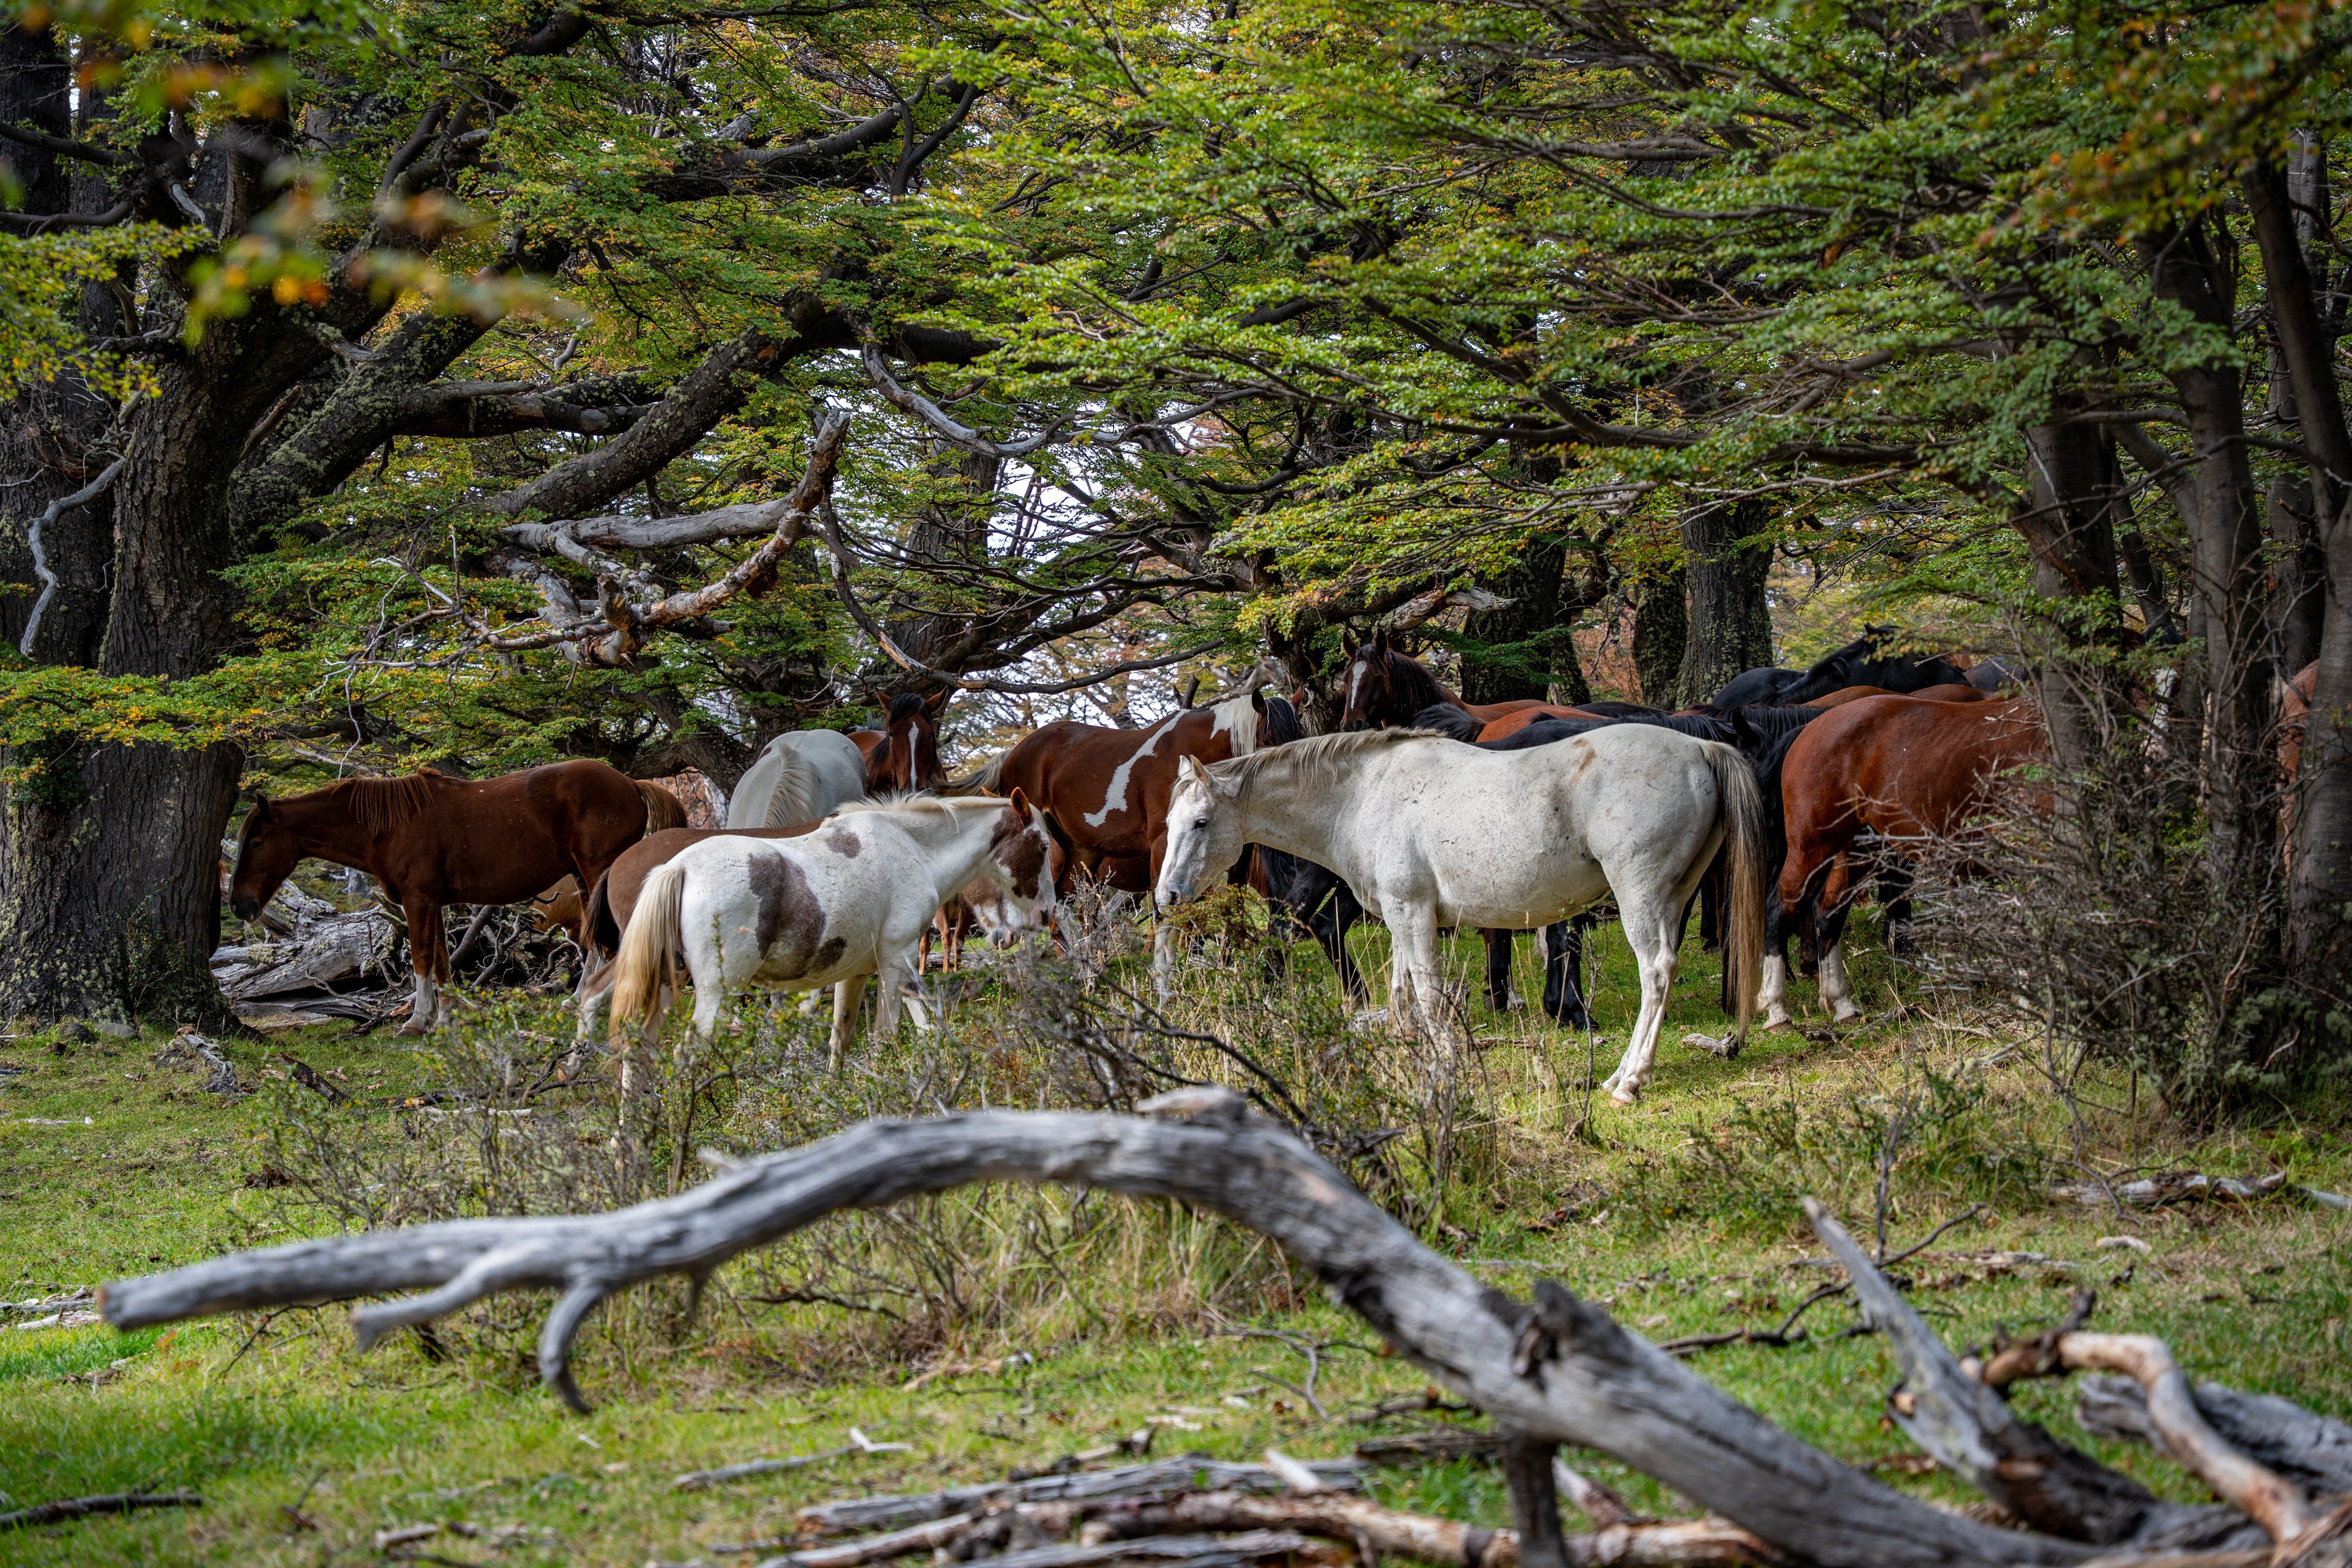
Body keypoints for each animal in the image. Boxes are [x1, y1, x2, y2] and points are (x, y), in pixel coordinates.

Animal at [230, 762, 686, 1034]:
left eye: (255, 842)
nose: (237, 904)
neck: (387, 827)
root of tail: (630, 783)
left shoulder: (417, 900)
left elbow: (421, 958)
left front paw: (417, 1021)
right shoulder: (432, 901)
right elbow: (442, 960)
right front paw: (445, 1015)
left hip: (596, 872)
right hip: (583, 876)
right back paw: (578, 998)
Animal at [609, 795, 1059, 1071]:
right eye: (1042, 847)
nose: (1046, 914)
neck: (912, 847)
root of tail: (680, 867)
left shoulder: (857, 973)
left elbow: (844, 1038)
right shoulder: (896, 961)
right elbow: (890, 1035)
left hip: (664, 989)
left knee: (639, 1057)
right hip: (719, 993)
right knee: (684, 1057)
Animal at [1157, 727, 1766, 1103]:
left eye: (1201, 823)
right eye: (1169, 823)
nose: (1166, 897)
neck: (1363, 794)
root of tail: (1700, 747)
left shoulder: (1412, 912)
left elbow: (1427, 995)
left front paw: (1445, 1068)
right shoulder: (1398, 918)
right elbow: (1402, 995)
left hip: (1639, 895)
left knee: (1655, 972)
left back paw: (1628, 1081)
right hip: (1675, 896)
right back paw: (1620, 1073)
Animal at [1769, 695, 2045, 1023]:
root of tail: (1809, 729)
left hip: (1858, 847)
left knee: (1828, 910)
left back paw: (1841, 1003)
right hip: (1812, 846)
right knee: (1779, 909)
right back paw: (1776, 1010)